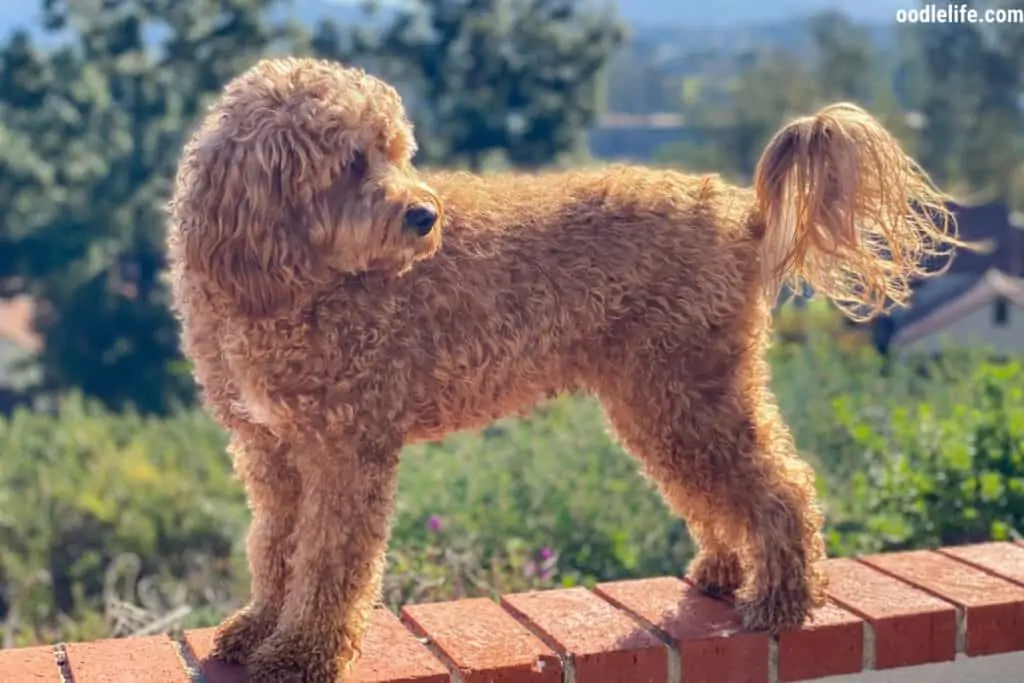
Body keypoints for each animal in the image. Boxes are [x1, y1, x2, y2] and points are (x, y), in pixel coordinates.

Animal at [165, 58, 958, 683]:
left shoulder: (345, 450)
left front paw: (299, 653)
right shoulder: (270, 449)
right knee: (719, 488)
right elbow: (275, 546)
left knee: (782, 484)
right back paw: (724, 571)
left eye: (394, 151)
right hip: (657, 398)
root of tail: (742, 213)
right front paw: (255, 627)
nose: (425, 216)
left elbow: (329, 562)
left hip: (687, 390)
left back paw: (782, 599)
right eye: (350, 161)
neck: (290, 281)